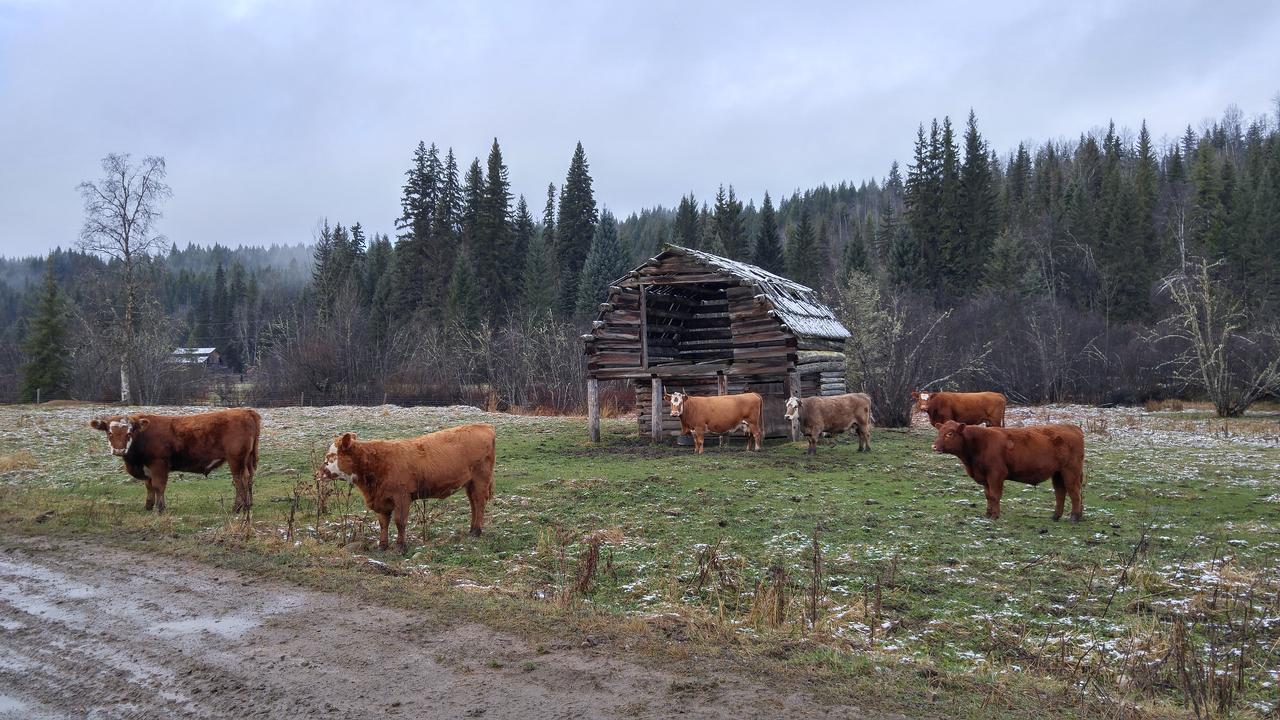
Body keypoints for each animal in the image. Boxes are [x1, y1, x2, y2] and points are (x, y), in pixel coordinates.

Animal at [88, 407, 261, 512]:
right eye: (110, 433)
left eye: (129, 432)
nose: (118, 450)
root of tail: (245, 411)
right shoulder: (147, 468)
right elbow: (149, 487)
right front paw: (148, 506)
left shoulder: (158, 464)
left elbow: (158, 486)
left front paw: (160, 508)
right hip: (247, 460)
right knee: (249, 479)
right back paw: (249, 504)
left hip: (236, 459)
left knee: (239, 480)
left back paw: (238, 507)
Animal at [320, 420, 499, 548]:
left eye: (331, 456)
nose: (318, 473)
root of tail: (485, 426)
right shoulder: (381, 500)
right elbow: (383, 523)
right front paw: (382, 546)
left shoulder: (402, 497)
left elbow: (400, 522)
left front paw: (400, 546)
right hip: (470, 483)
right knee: (473, 504)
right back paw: (472, 529)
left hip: (480, 480)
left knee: (479, 503)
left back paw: (476, 531)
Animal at [926, 417, 1085, 517]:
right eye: (939, 432)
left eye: (950, 433)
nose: (934, 446)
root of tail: (1072, 427)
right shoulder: (985, 477)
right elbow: (988, 495)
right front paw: (988, 514)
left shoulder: (996, 474)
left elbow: (995, 495)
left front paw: (995, 515)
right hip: (1058, 473)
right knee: (1060, 493)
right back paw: (1056, 516)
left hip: (1071, 471)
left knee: (1074, 492)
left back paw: (1074, 517)